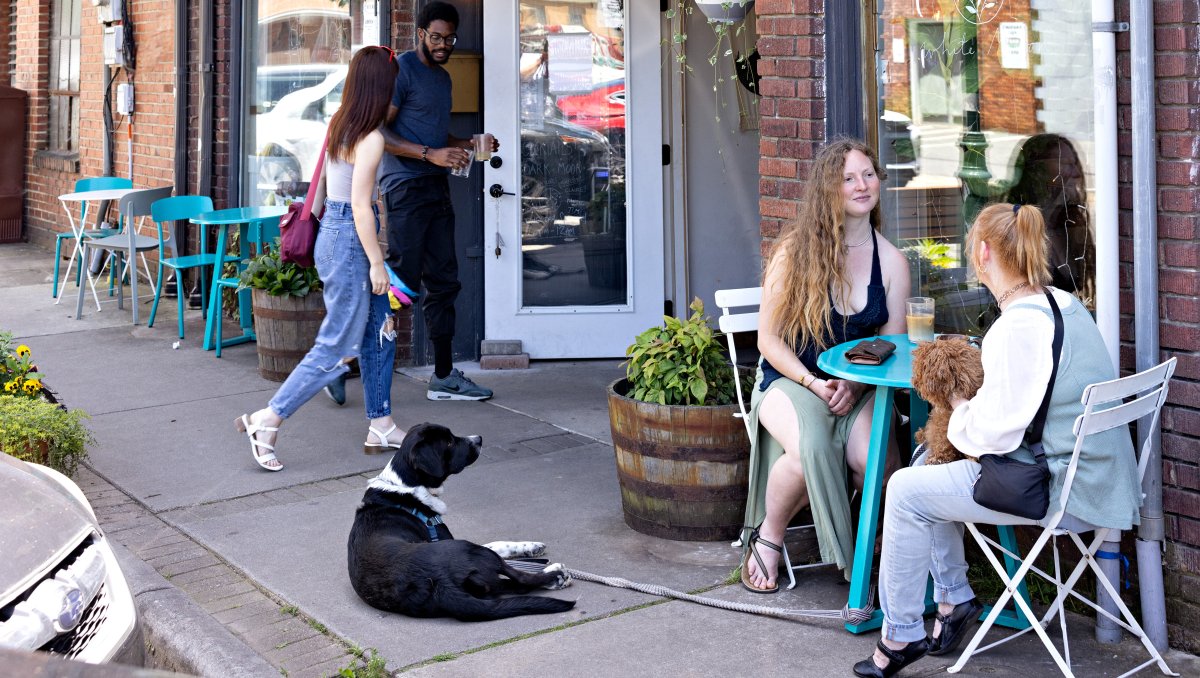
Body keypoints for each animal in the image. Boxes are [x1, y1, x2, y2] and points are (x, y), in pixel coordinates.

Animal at [345, 420, 573, 619]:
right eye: (448, 442)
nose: (478, 439)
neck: (406, 485)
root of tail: (439, 585)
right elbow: (500, 545)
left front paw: (532, 548)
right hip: (471, 549)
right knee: (520, 577)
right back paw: (556, 575)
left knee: (512, 585)